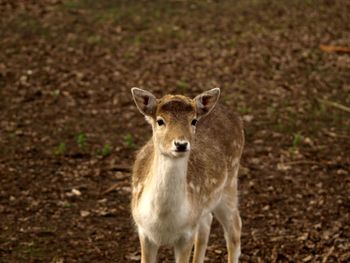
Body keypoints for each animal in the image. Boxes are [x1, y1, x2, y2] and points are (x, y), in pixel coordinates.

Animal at [131, 87, 243, 262]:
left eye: (194, 121)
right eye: (160, 121)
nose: (181, 144)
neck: (163, 221)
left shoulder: (187, 233)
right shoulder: (143, 231)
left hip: (229, 184)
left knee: (235, 227)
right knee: (207, 223)